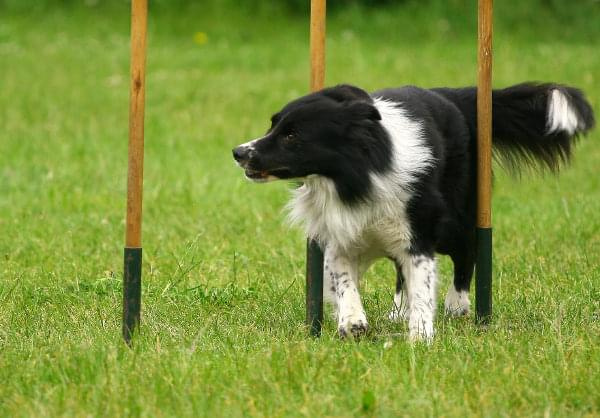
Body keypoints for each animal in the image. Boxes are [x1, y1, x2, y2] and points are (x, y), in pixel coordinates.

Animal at [232, 83, 592, 342]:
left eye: (292, 136)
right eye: (274, 125)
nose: (238, 152)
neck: (356, 174)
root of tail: (455, 95)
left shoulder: (419, 232)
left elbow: (422, 282)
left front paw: (420, 335)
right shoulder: (341, 233)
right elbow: (344, 279)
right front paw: (353, 322)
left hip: (452, 219)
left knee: (468, 249)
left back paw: (458, 304)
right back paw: (398, 311)